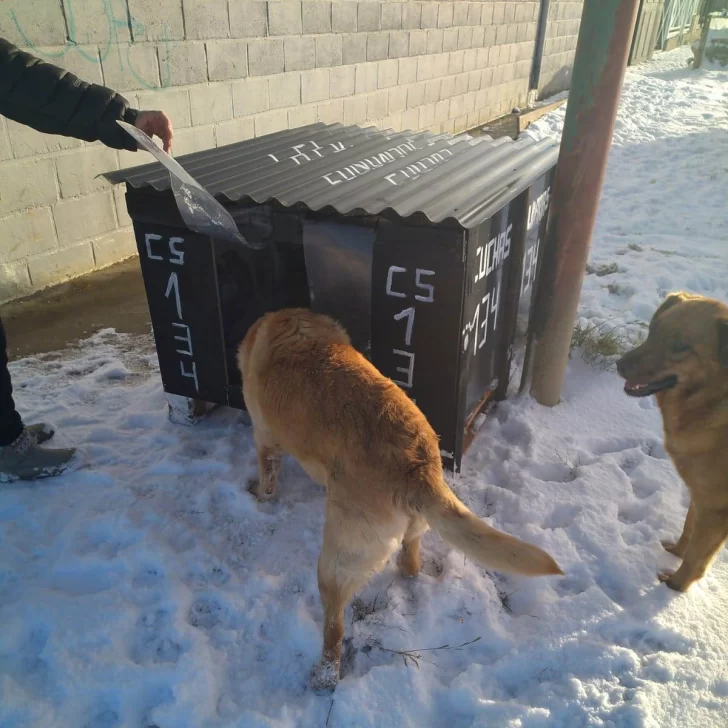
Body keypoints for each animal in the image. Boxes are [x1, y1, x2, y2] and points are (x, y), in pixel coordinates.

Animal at [239, 306, 564, 688]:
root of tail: (416, 465)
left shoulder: (264, 438)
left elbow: (267, 479)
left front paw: (258, 497)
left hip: (337, 561)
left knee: (334, 625)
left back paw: (324, 673)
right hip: (414, 526)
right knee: (409, 563)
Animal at [616, 292, 728, 596]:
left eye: (679, 346)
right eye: (653, 330)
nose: (618, 365)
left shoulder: (715, 509)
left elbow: (696, 556)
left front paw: (676, 585)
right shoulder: (701, 496)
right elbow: (688, 531)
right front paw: (675, 552)